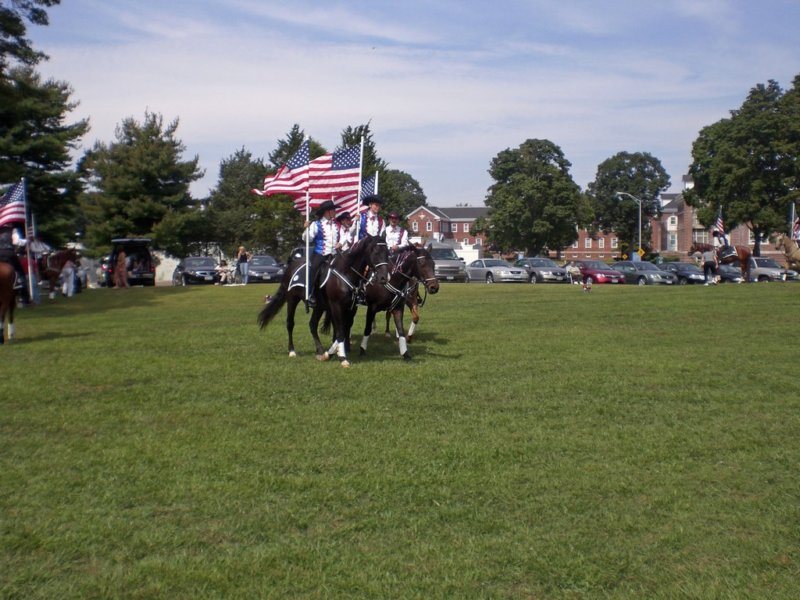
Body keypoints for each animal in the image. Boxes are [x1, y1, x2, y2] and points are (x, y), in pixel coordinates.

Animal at [258, 233, 390, 366]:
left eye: (387, 252)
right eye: (375, 252)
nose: (384, 278)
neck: (345, 273)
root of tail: (291, 267)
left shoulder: (350, 308)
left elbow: (343, 329)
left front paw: (332, 353)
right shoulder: (336, 306)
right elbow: (340, 331)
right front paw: (342, 358)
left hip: (319, 307)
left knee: (312, 325)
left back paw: (320, 350)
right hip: (292, 300)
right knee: (290, 323)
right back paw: (292, 351)